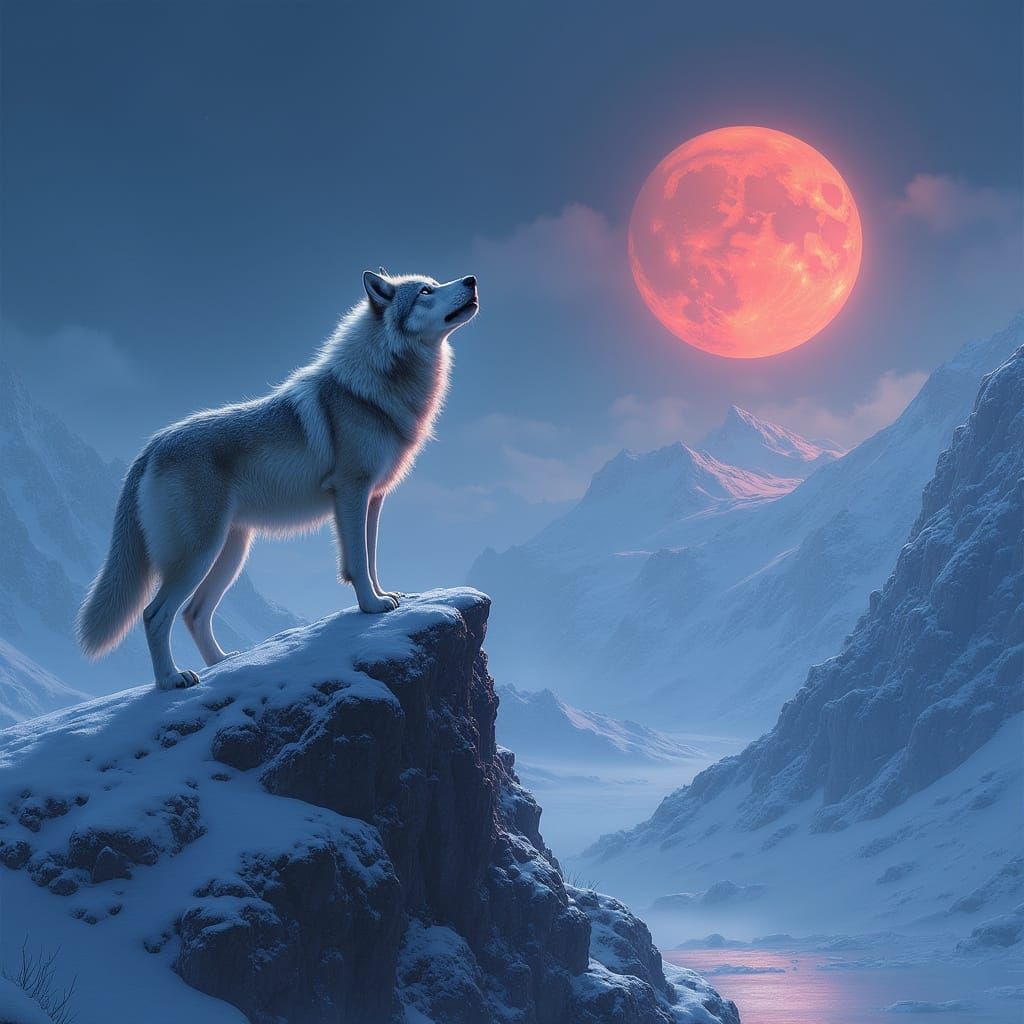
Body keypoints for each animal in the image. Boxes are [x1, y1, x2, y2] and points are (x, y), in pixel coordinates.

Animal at [76, 269, 478, 689]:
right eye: (426, 291)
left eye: (433, 283)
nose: (471, 279)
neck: (370, 388)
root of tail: (150, 447)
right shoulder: (351, 491)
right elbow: (357, 562)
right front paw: (372, 607)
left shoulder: (374, 497)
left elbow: (369, 558)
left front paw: (385, 597)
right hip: (200, 554)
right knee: (154, 614)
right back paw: (172, 681)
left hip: (230, 552)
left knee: (193, 613)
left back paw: (222, 663)